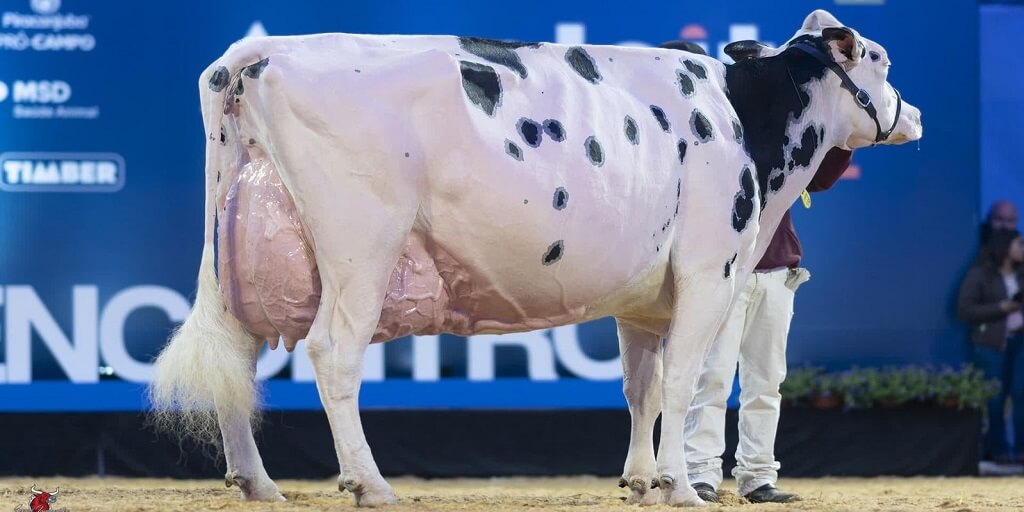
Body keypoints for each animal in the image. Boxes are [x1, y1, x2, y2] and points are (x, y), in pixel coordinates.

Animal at [149, 9, 921, 508]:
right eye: (881, 59)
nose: (912, 116)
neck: (745, 121)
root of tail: (262, 52)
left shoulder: (647, 296)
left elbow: (640, 388)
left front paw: (640, 481)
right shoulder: (710, 271)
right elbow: (682, 384)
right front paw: (681, 488)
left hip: (241, 250)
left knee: (235, 356)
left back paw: (258, 484)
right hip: (360, 244)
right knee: (333, 353)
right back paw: (370, 484)